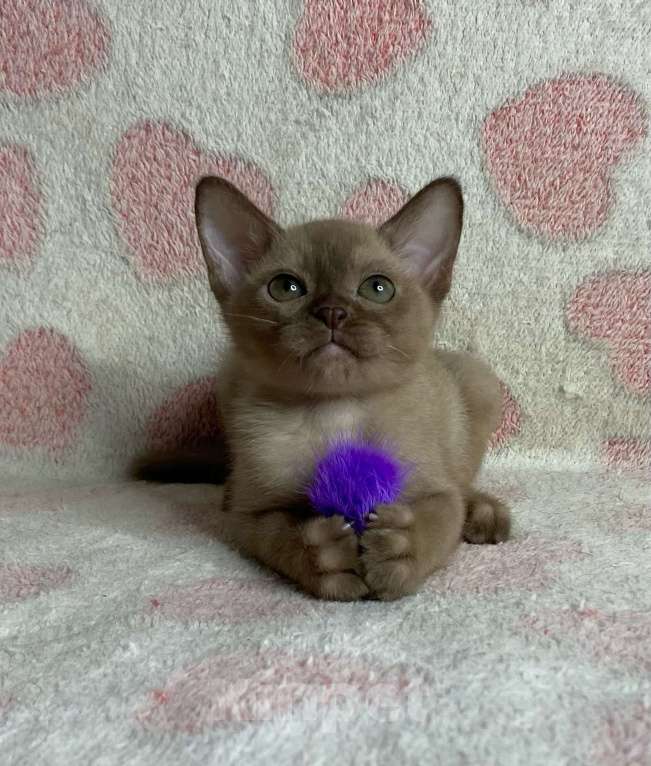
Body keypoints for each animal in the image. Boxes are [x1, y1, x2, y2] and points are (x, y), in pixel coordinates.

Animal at [139, 177, 516, 604]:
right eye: (286, 287)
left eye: (378, 288)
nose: (332, 312)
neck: (337, 410)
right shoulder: (251, 515)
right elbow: (282, 536)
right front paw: (328, 556)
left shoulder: (437, 493)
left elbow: (437, 521)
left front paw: (398, 552)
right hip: (228, 379)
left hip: (478, 380)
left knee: (463, 483)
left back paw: (485, 513)